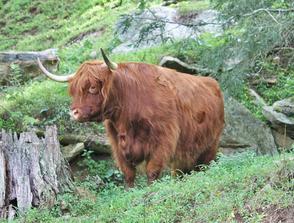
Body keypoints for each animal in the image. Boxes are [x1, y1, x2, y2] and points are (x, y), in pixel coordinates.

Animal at [37, 49, 225, 187]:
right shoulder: (117, 143)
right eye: (74, 90)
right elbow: (128, 173)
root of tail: (212, 82)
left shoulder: (163, 139)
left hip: (211, 143)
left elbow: (152, 170)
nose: (74, 113)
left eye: (92, 88)